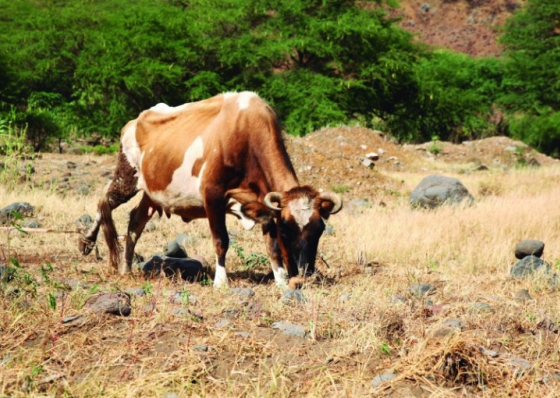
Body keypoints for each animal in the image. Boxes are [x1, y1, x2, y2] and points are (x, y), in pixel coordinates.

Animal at [78, 91, 342, 288]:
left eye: (319, 230)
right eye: (286, 230)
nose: (305, 274)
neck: (245, 135)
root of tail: (135, 121)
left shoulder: (264, 205)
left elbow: (271, 246)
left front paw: (280, 280)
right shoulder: (213, 195)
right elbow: (221, 240)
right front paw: (221, 282)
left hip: (152, 192)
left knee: (135, 222)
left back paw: (126, 268)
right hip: (127, 175)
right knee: (105, 201)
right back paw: (87, 241)